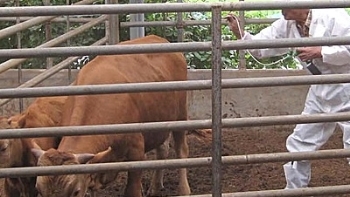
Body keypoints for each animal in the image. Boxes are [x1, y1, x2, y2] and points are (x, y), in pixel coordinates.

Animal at [30, 35, 191, 197]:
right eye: (39, 191)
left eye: (76, 191)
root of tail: (158, 38)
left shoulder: (137, 151)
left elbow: (132, 190)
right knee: (162, 150)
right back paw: (155, 186)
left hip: (181, 114)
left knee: (181, 150)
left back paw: (184, 189)